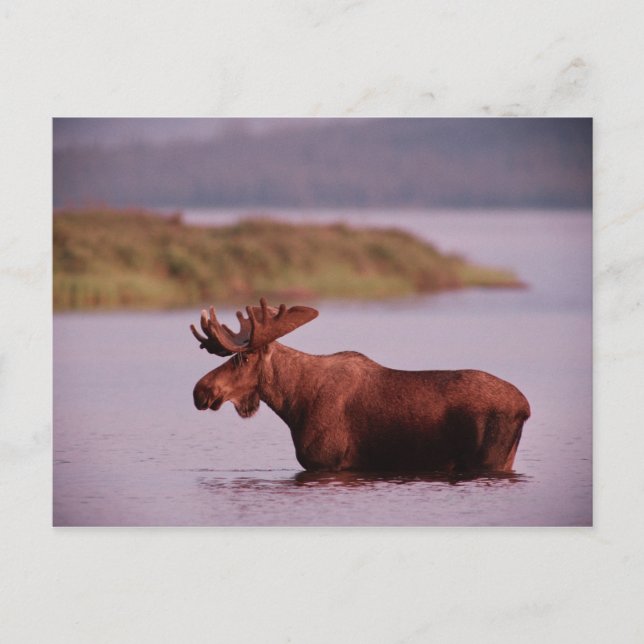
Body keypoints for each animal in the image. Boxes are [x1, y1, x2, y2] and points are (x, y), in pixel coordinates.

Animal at [190, 298, 530, 473]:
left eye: (245, 357)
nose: (200, 391)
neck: (293, 405)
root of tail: (525, 407)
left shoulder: (328, 463)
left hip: (489, 461)